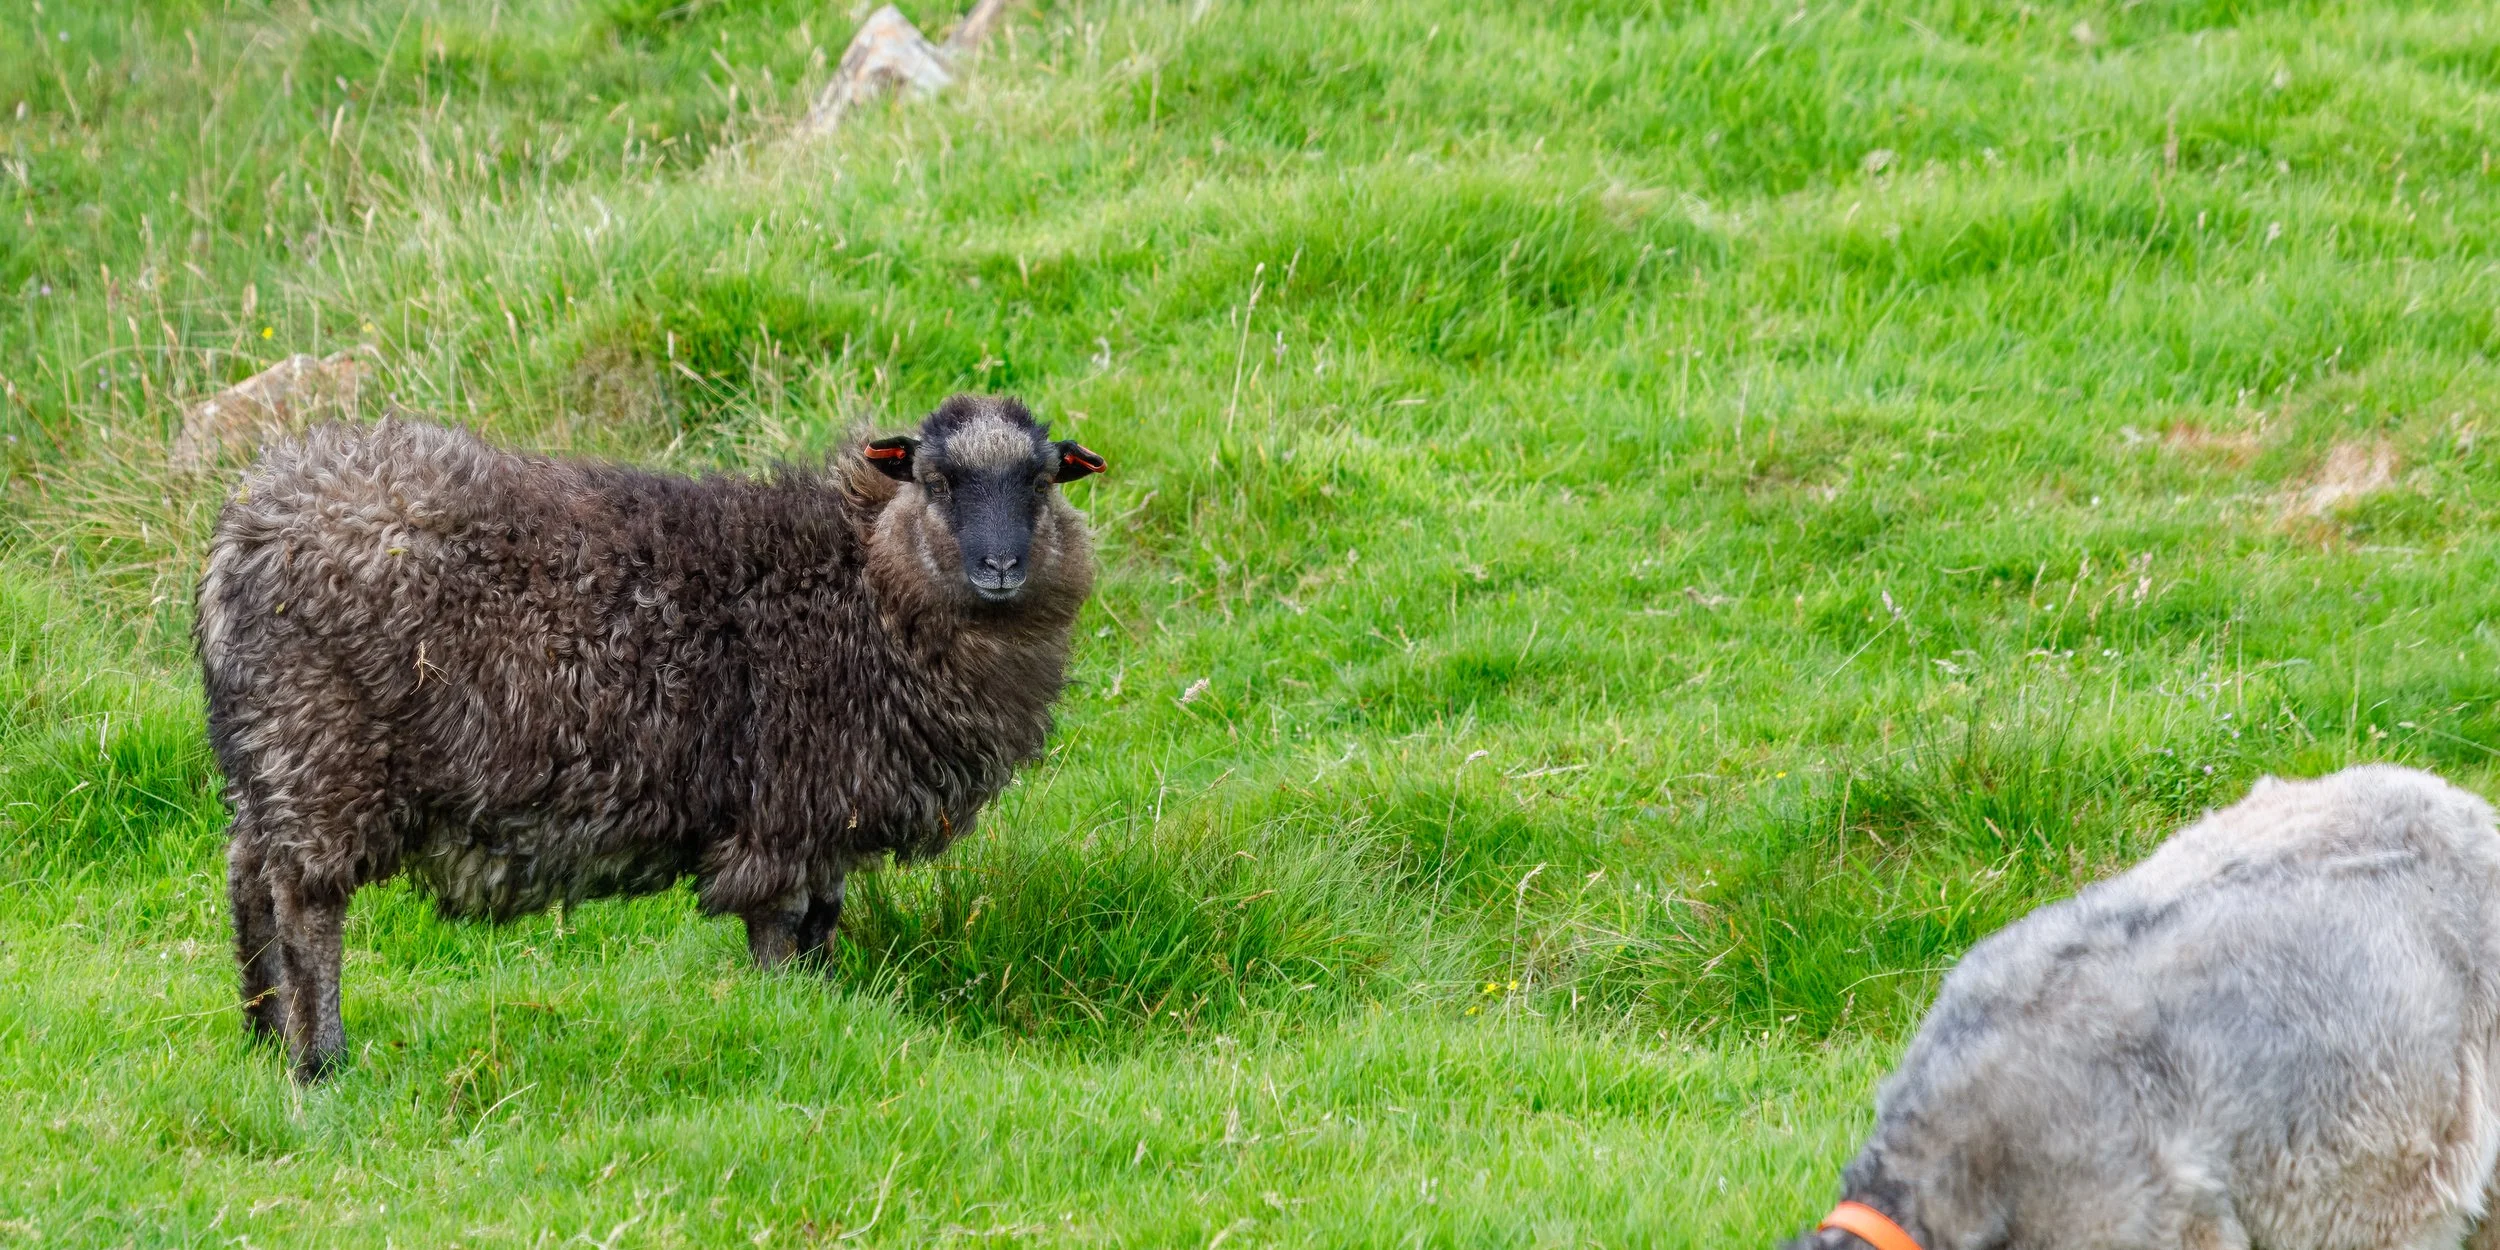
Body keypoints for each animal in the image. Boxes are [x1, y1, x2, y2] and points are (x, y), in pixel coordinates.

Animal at [195, 394, 1104, 1080]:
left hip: (268, 758)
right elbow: (781, 932)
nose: (1000, 567)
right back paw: (321, 1062)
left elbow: (824, 930)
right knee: (305, 906)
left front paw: (819, 1013)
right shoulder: (782, 815)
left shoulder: (828, 817)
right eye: (937, 479)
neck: (863, 583)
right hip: (324, 752)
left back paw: (261, 1037)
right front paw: (785, 1020)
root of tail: (244, 530)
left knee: (247, 880)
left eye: (1041, 480)